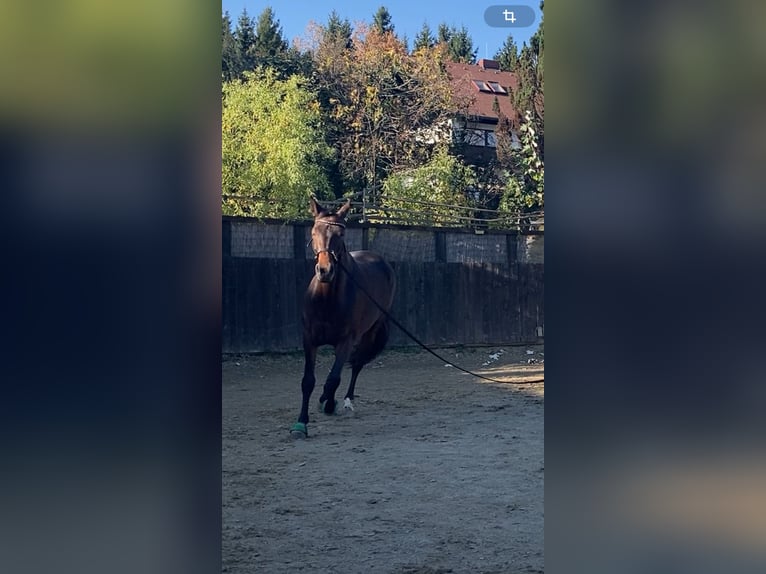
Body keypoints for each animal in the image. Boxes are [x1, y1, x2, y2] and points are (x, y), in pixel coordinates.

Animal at [290, 199, 396, 440]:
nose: (325, 270)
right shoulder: (309, 339)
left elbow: (333, 380)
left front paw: (327, 403)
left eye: (341, 234)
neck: (327, 299)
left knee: (357, 366)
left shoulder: (346, 341)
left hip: (369, 333)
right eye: (314, 231)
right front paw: (301, 424)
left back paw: (346, 402)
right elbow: (308, 381)